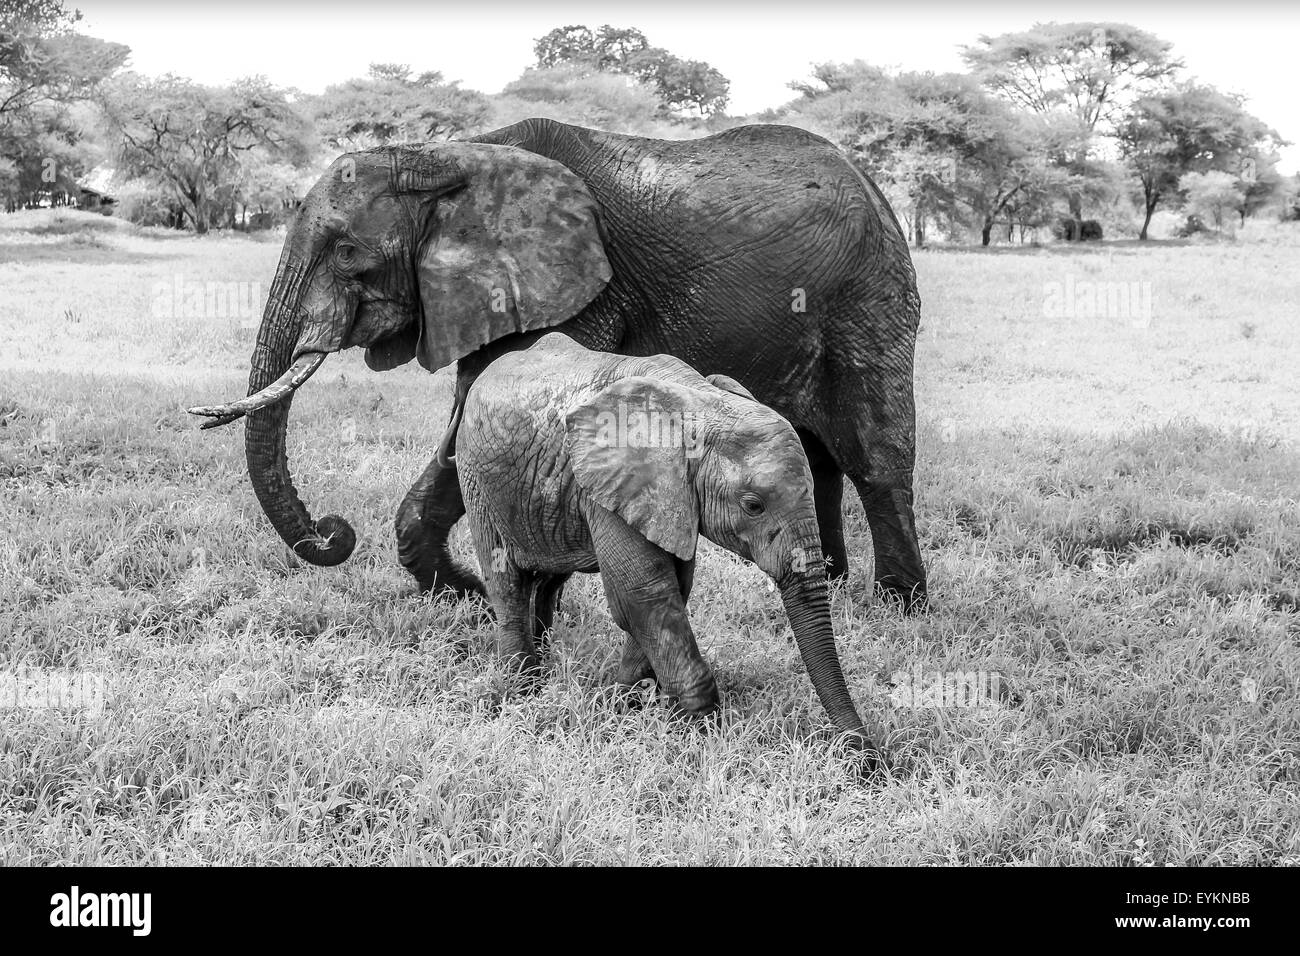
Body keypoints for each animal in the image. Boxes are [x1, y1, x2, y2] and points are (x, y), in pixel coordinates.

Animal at [189, 117, 928, 611]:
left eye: (346, 254)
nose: (331, 530)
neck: (448, 156)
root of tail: (871, 182)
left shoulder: (581, 289)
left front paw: (480, 590)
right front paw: (468, 593)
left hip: (868, 293)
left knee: (872, 450)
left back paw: (896, 604)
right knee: (815, 449)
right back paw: (834, 582)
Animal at [456, 332, 874, 751]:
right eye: (753, 506)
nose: (865, 757)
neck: (701, 404)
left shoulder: (670, 498)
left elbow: (670, 590)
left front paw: (623, 703)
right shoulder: (614, 489)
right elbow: (645, 593)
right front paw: (697, 732)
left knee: (549, 576)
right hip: (475, 478)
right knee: (507, 581)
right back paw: (523, 688)